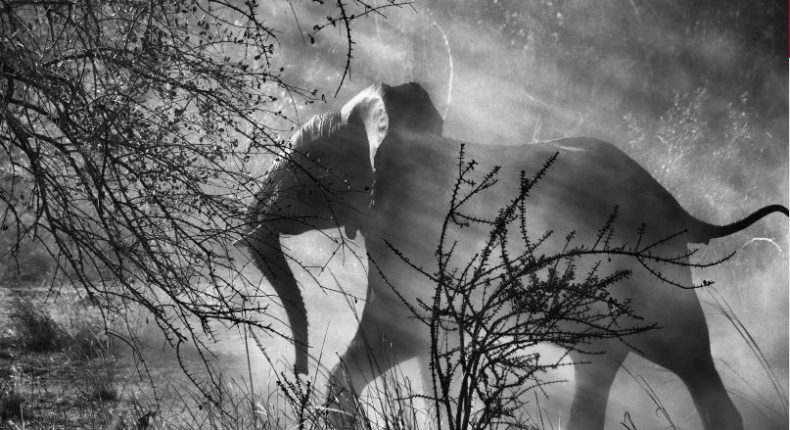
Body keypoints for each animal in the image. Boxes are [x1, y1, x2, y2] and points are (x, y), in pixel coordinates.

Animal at [238, 83, 788, 430]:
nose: (296, 370)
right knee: (598, 369)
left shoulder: (416, 235)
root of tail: (683, 211)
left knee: (687, 353)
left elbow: (399, 334)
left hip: (655, 274)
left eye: (306, 162)